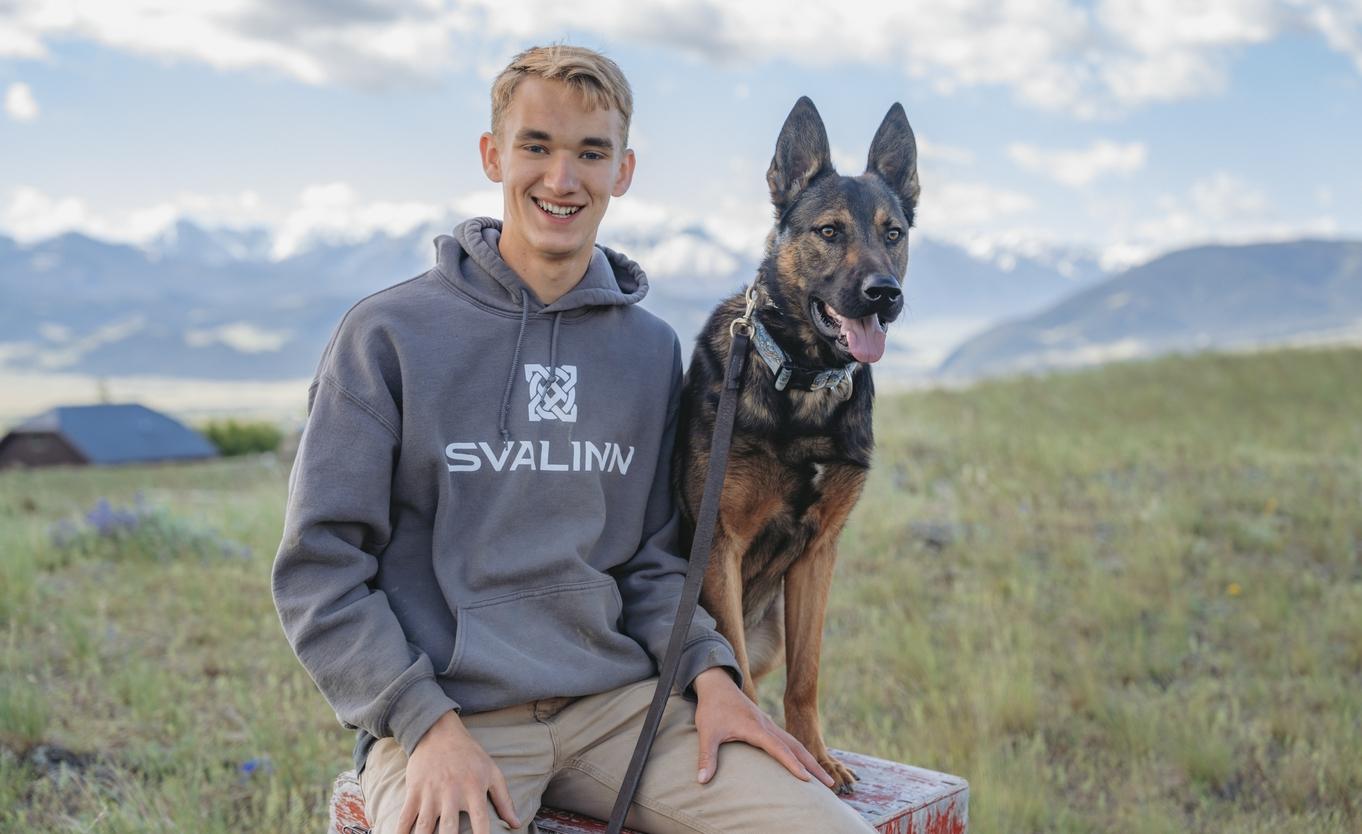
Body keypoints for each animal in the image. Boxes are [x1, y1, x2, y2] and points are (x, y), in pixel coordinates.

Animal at [672, 94, 915, 790]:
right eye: (829, 232)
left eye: (894, 233)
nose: (884, 295)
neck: (804, 379)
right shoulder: (720, 545)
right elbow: (738, 681)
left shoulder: (818, 554)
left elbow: (805, 677)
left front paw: (817, 754)